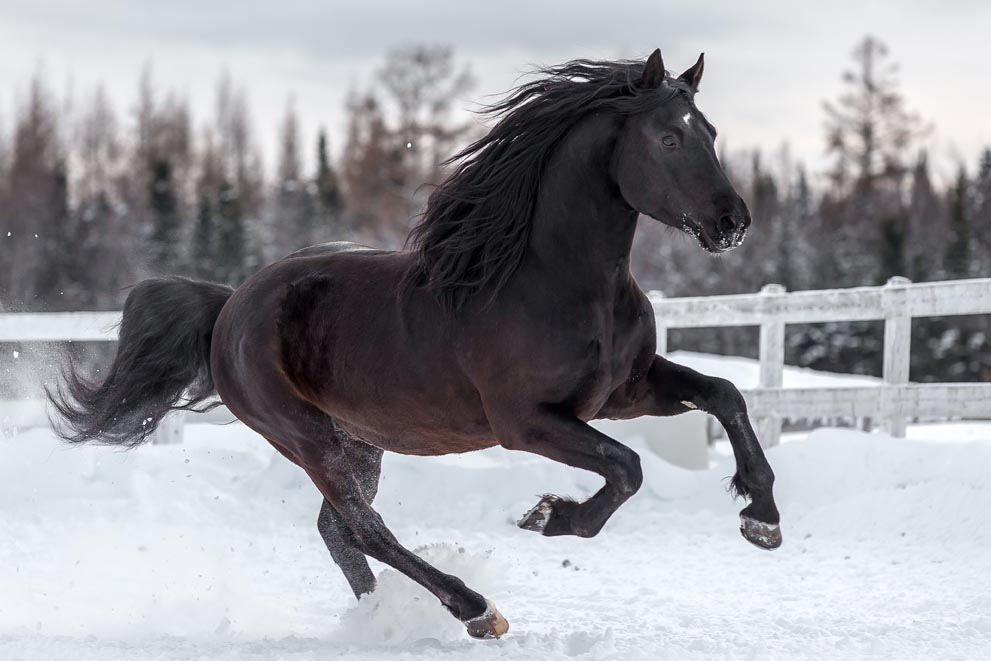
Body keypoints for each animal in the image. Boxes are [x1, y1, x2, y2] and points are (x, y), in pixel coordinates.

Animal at [50, 51, 784, 640]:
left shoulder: (622, 391)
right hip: (301, 433)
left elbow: (724, 394)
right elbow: (627, 468)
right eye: (667, 136)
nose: (732, 222)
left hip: (359, 438)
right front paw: (549, 516)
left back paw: (387, 617)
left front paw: (762, 517)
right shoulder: (526, 422)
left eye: (710, 132)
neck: (556, 281)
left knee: (341, 529)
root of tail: (231, 304)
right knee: (363, 525)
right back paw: (475, 610)